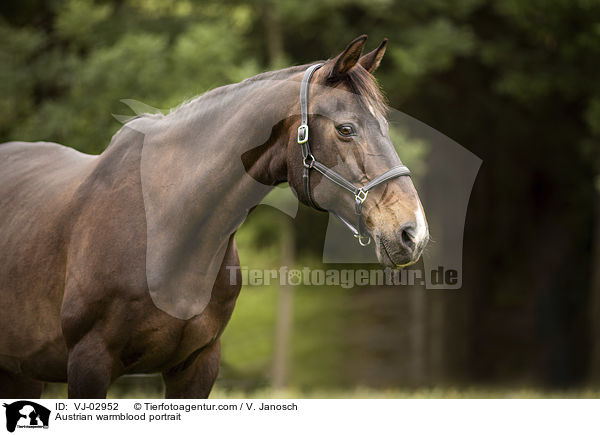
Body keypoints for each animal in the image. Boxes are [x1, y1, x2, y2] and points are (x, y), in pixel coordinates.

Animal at [2, 35, 428, 398]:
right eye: (345, 129)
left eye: (385, 127)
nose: (413, 232)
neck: (166, 228)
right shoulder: (89, 362)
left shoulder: (198, 365)